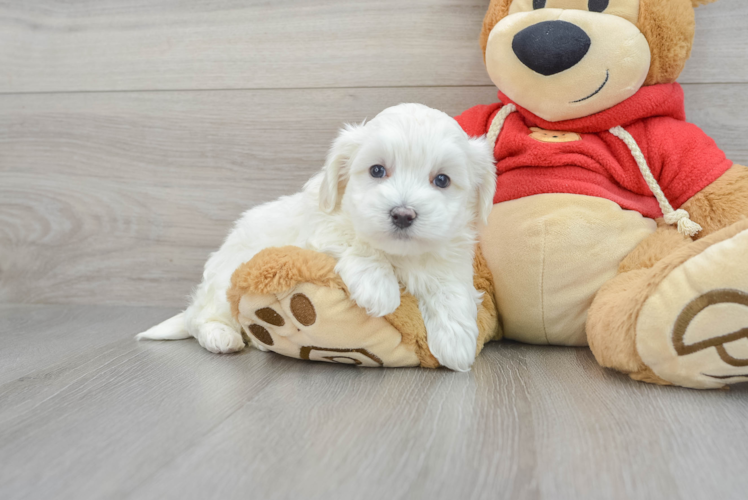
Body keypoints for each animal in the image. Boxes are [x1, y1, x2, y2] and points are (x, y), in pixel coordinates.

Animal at [140, 103, 496, 372]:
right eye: (377, 170)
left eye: (442, 180)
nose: (403, 214)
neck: (398, 253)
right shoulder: (322, 227)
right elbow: (357, 242)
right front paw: (379, 288)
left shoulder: (448, 256)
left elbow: (451, 288)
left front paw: (456, 341)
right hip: (224, 277)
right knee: (199, 316)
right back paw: (221, 335)